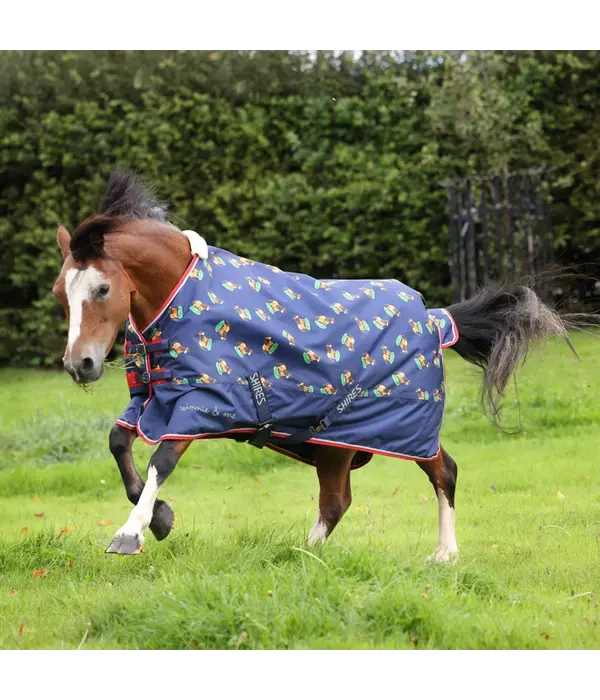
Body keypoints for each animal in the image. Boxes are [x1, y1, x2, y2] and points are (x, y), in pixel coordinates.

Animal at [51, 169, 580, 562]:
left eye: (102, 288)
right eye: (61, 293)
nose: (80, 364)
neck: (183, 297)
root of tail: (435, 318)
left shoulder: (204, 402)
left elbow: (161, 460)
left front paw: (132, 532)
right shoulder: (154, 397)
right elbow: (118, 443)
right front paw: (161, 518)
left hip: (397, 427)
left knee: (439, 472)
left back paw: (441, 555)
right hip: (335, 444)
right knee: (340, 500)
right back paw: (304, 554)